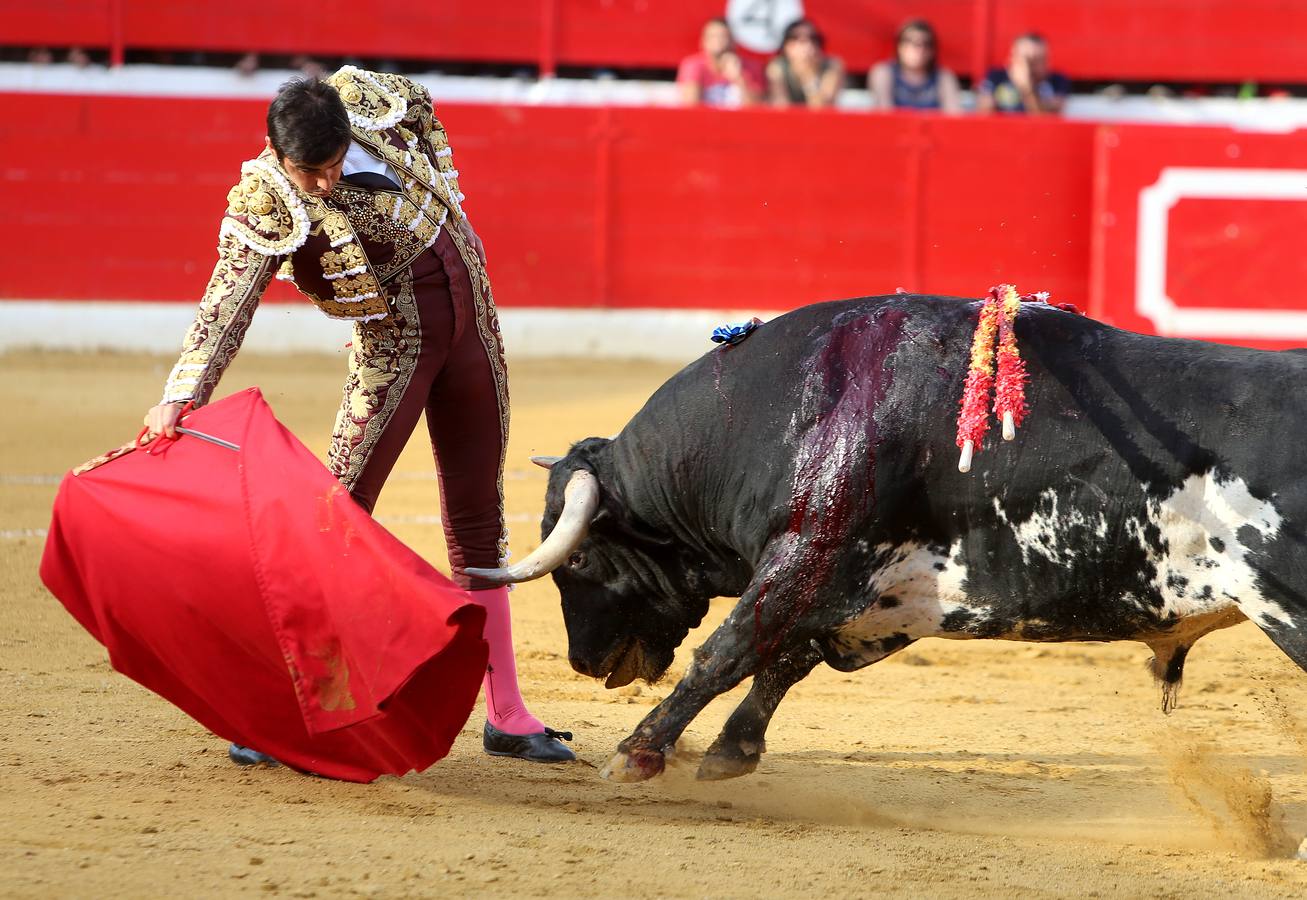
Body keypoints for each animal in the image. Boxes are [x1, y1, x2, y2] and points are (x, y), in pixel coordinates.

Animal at [465, 295, 1301, 778]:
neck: (792, 407)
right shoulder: (855, 586)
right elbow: (783, 658)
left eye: (577, 556)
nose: (585, 662)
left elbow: (729, 650)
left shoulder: (806, 550)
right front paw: (732, 753)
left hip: (1287, 609)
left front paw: (635, 753)